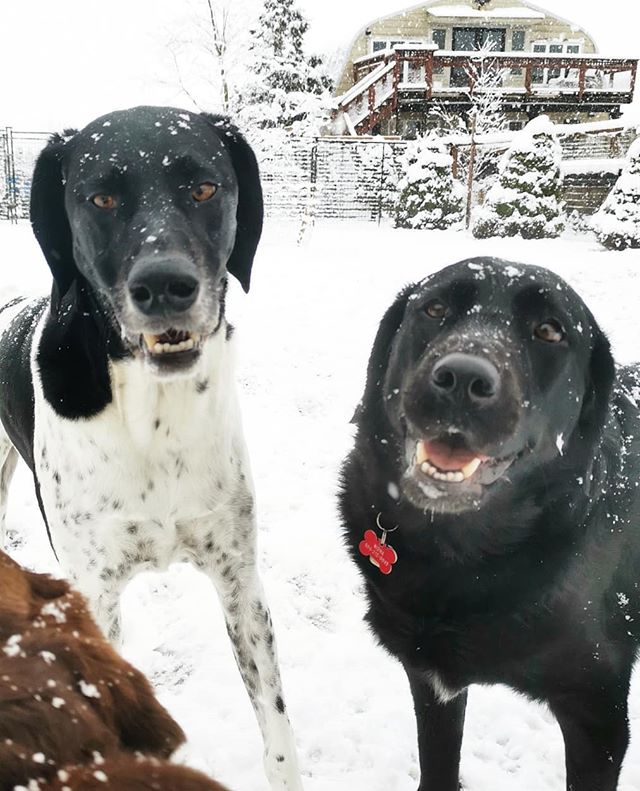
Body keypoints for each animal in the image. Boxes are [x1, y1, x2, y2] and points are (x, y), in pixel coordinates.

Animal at [340, 260, 640, 791]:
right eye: (434, 308)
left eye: (549, 331)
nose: (461, 378)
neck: (457, 553)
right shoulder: (429, 673)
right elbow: (438, 764)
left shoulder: (598, 717)